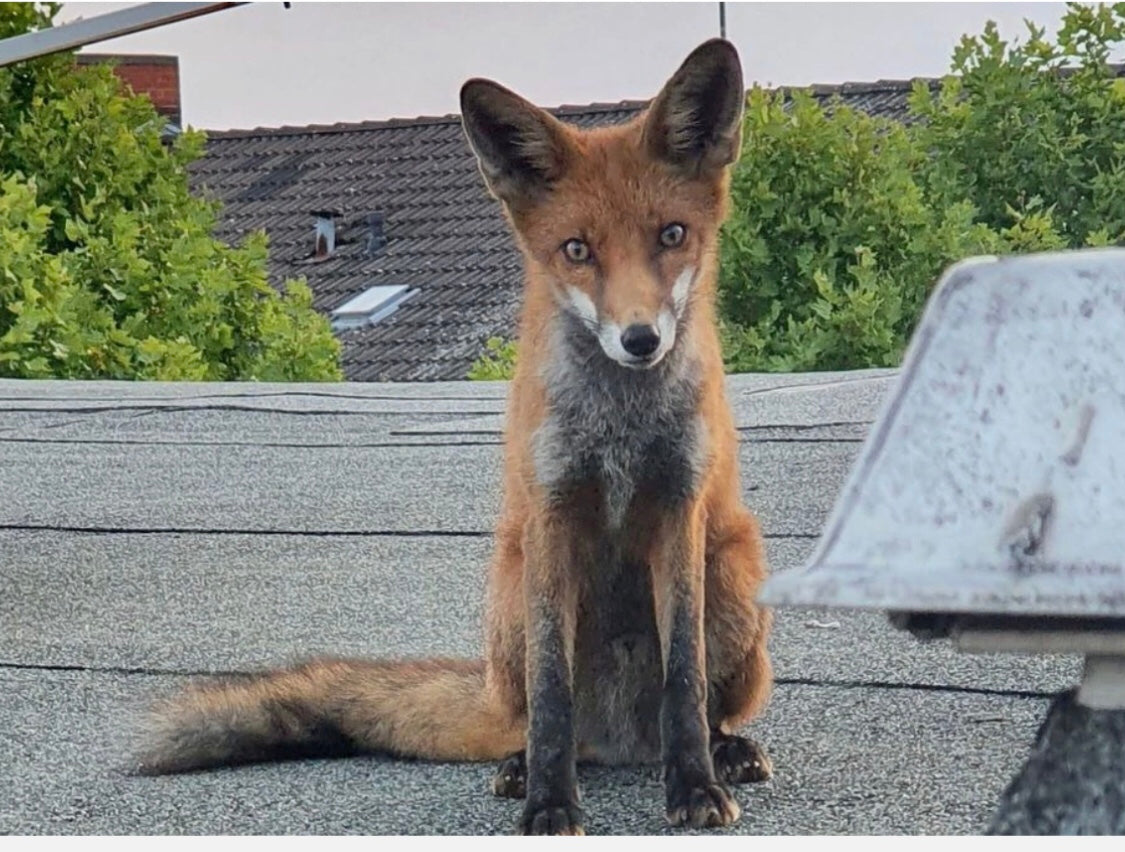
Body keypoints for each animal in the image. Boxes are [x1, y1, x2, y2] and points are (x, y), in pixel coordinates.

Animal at [133, 38, 773, 836]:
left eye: (672, 236)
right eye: (576, 250)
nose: (639, 340)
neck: (620, 427)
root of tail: (624, 743)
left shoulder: (679, 508)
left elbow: (684, 678)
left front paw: (692, 787)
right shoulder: (551, 512)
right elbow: (552, 696)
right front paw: (549, 803)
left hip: (735, 573)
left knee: (705, 707)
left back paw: (727, 751)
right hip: (509, 593)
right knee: (541, 719)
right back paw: (523, 764)